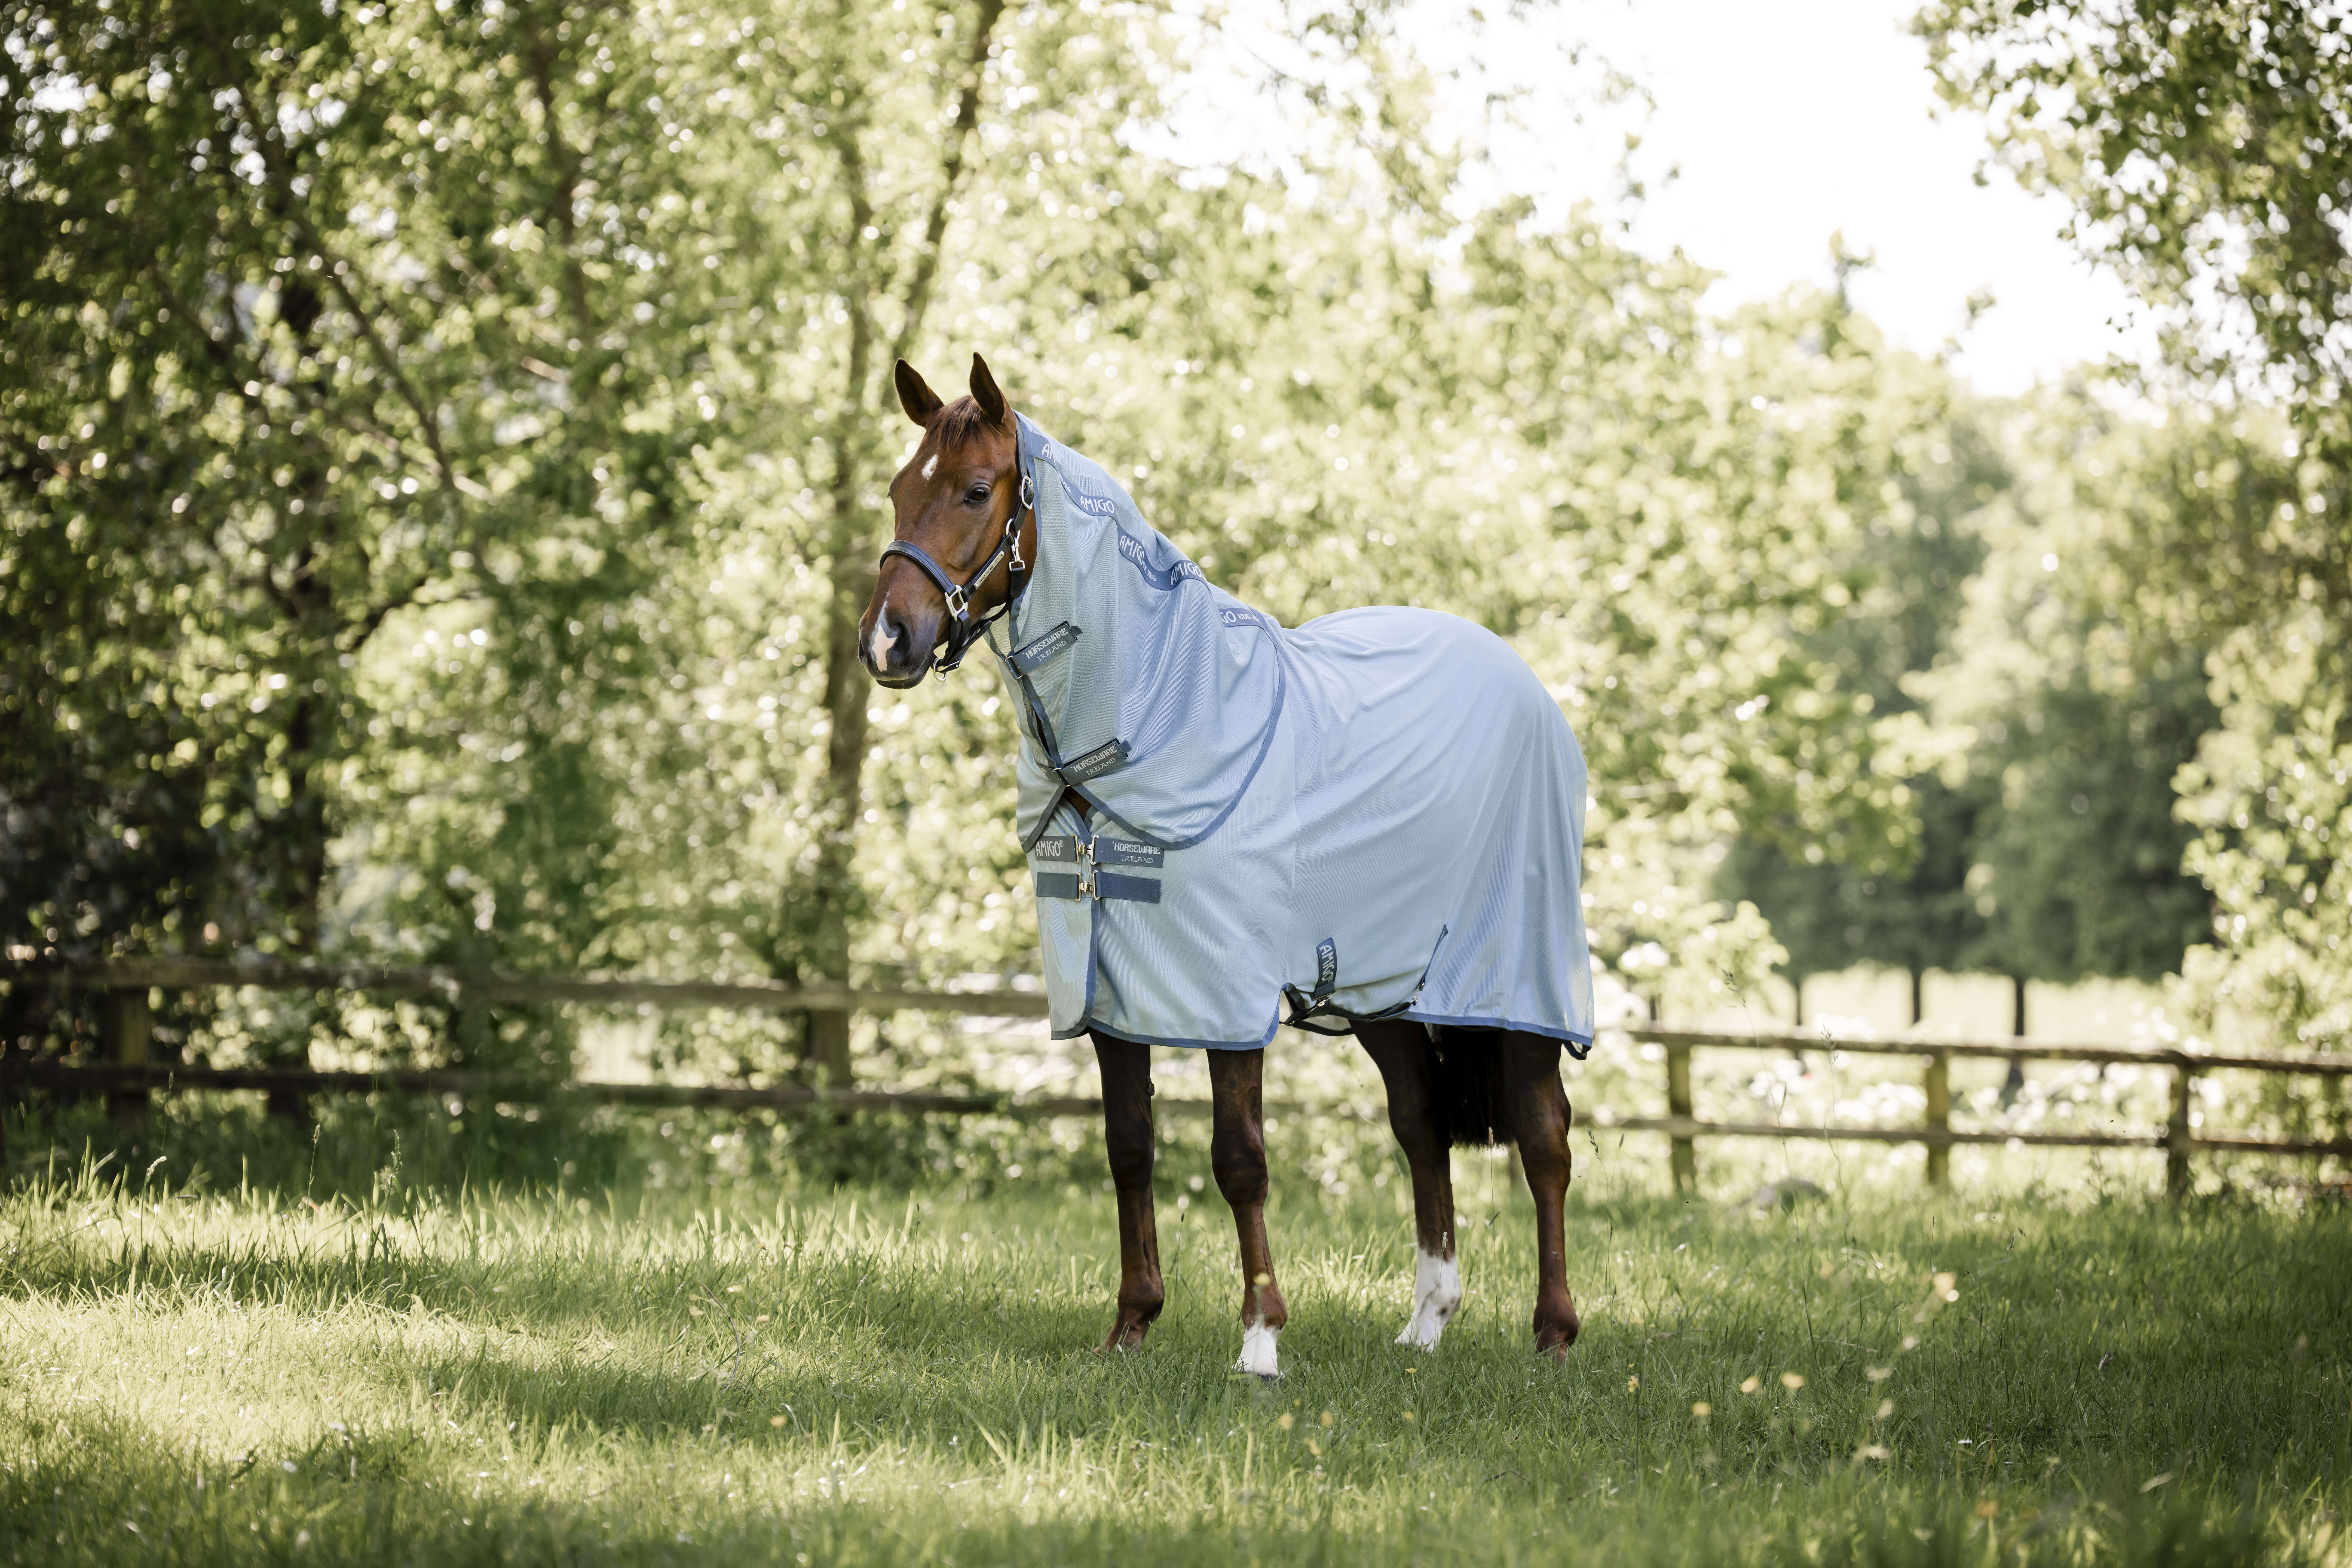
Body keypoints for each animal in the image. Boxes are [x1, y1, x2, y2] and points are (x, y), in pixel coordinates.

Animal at [860, 353, 1596, 1373]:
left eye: (975, 490)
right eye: (899, 489)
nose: (887, 641)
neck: (1170, 719)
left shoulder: (1225, 996)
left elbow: (1239, 1157)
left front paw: (1259, 1342)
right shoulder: (1109, 992)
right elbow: (1129, 1145)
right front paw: (1131, 1327)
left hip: (1517, 980)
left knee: (1544, 1137)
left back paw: (1554, 1334)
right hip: (1383, 991)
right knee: (1421, 1127)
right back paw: (1426, 1325)